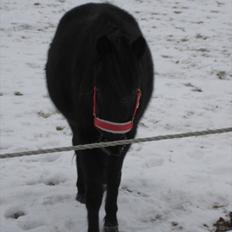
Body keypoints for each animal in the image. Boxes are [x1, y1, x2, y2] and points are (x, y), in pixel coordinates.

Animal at [45, 2, 154, 232]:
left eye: (135, 92)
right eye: (100, 91)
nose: (113, 143)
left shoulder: (128, 135)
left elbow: (114, 180)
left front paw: (111, 221)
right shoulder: (87, 133)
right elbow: (95, 193)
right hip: (77, 126)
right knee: (77, 147)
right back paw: (81, 189)